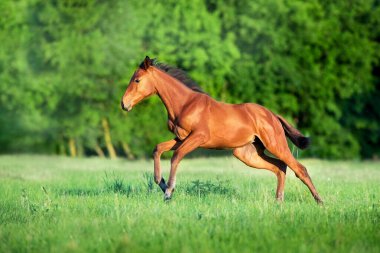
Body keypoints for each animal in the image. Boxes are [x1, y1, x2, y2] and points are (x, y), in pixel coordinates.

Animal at [121, 56, 324, 205]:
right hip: (247, 153)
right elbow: (158, 149)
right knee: (280, 167)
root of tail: (272, 115)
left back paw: (319, 201)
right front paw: (161, 183)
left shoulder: (198, 137)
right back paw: (278, 201)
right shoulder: (180, 138)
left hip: (275, 144)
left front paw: (169, 191)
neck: (185, 104)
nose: (124, 104)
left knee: (299, 168)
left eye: (137, 80)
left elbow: (176, 156)